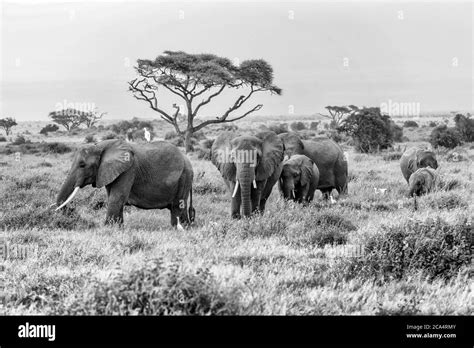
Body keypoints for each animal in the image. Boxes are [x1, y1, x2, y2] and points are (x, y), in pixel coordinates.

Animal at [55, 139, 194, 228]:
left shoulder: (128, 169)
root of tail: (187, 160)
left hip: (184, 177)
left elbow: (116, 198)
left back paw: (178, 228)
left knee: (177, 206)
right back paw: (186, 227)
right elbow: (115, 198)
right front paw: (119, 228)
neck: (100, 146)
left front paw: (107, 228)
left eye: (82, 165)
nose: (72, 211)